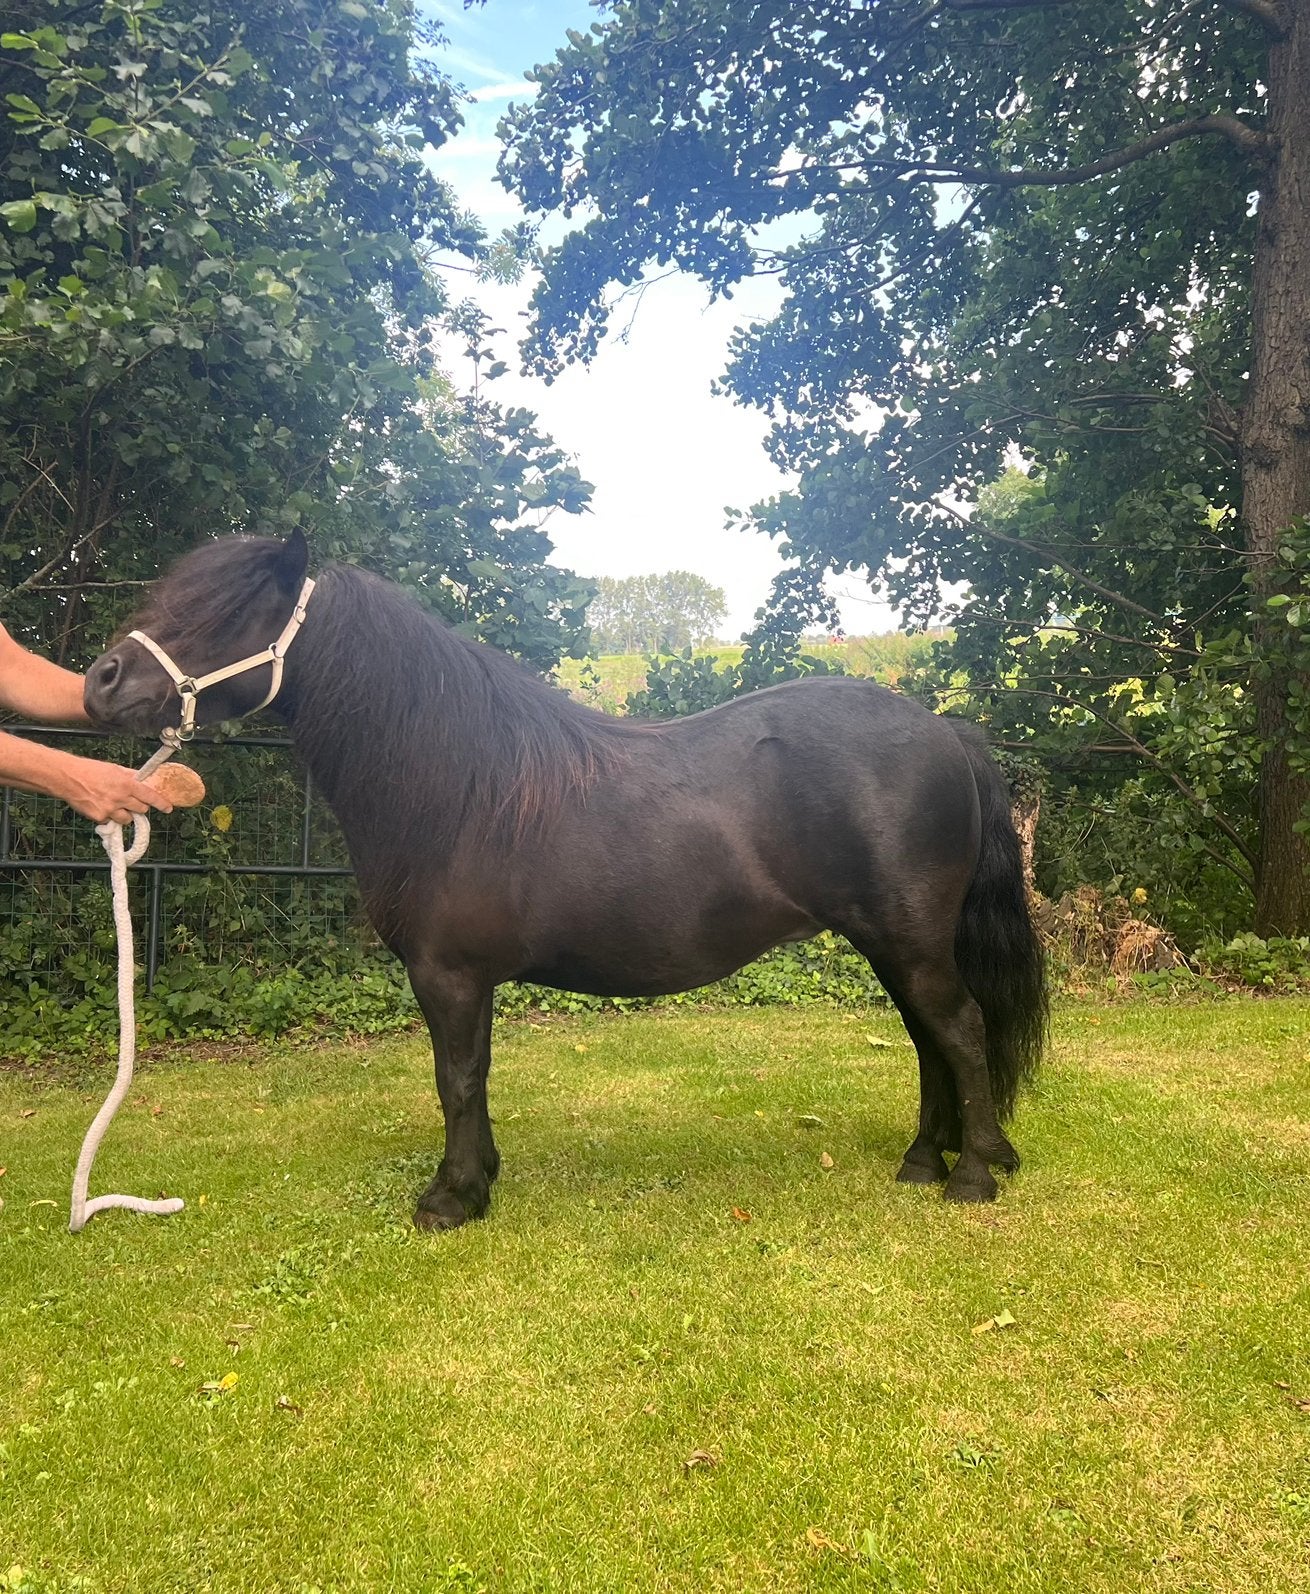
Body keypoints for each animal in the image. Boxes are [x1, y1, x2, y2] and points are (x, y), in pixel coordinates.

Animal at [84, 530, 1047, 1229]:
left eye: (228, 611)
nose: (100, 681)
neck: (457, 783)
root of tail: (946, 731)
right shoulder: (466, 980)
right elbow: (473, 1076)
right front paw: (480, 1178)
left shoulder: (447, 975)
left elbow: (456, 1079)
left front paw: (450, 1199)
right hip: (889, 942)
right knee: (928, 1040)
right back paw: (922, 1163)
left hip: (907, 938)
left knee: (959, 1032)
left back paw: (971, 1176)